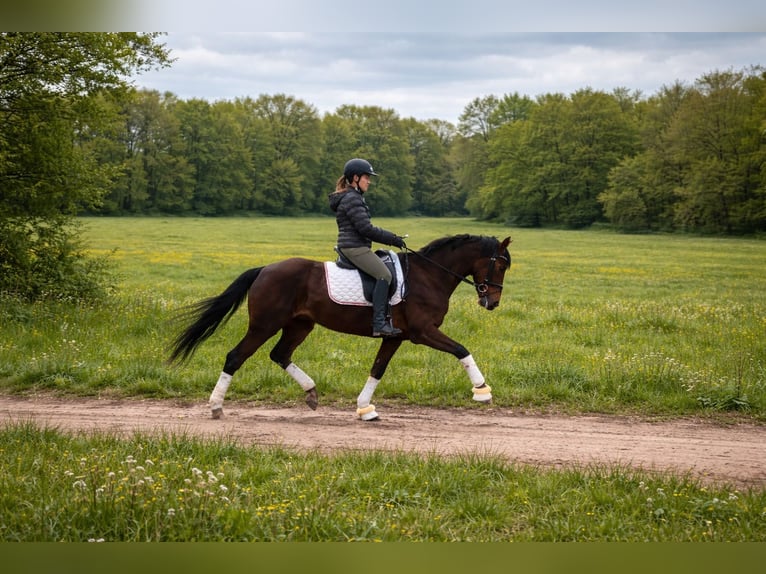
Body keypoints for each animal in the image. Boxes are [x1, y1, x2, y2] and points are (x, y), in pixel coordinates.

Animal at [168, 234, 512, 421]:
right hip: (264, 325)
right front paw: (482, 391)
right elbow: (461, 349)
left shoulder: (396, 337)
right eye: (501, 263)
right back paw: (215, 406)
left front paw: (365, 409)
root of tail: (265, 269)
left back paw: (311, 392)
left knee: (279, 355)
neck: (429, 275)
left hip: (299, 325)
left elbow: (377, 369)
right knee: (236, 357)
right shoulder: (422, 332)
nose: (492, 302)